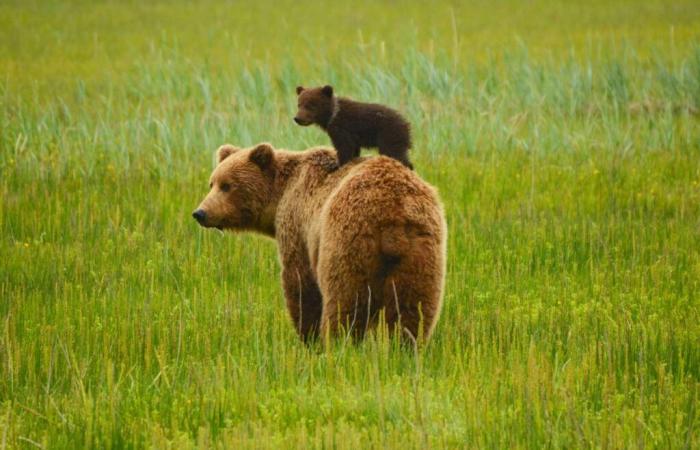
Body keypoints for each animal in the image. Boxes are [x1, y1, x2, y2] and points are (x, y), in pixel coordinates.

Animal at [193, 144, 442, 344]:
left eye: (227, 185)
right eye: (212, 183)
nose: (200, 213)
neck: (280, 195)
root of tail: (393, 211)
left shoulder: (298, 224)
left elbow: (300, 282)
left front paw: (308, 337)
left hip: (347, 240)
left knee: (345, 300)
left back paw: (339, 344)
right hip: (421, 249)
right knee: (413, 307)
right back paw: (405, 347)